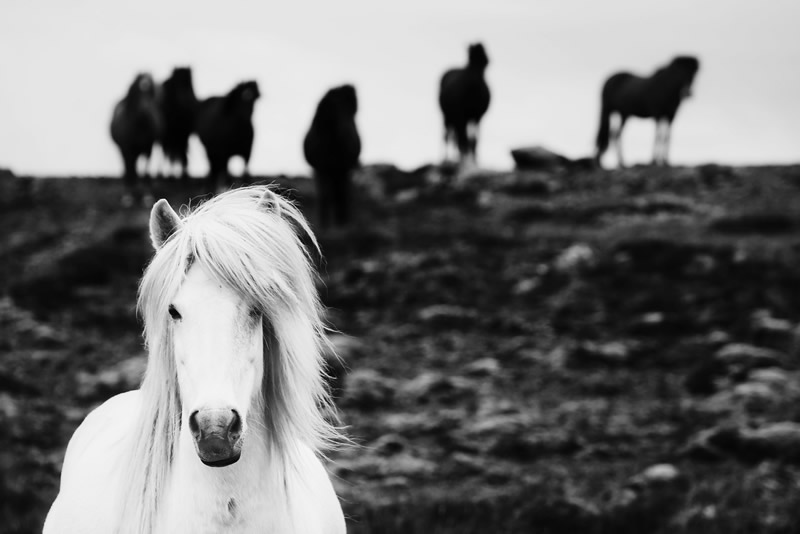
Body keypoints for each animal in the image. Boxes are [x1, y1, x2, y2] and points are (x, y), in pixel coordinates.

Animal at [109, 74, 162, 208]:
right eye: (137, 92)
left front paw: (147, 196)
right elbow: (130, 170)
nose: (145, 110)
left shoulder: (148, 148)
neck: (139, 126)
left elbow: (146, 172)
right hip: (124, 151)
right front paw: (128, 197)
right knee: (128, 169)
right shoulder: (127, 149)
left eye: (150, 92)